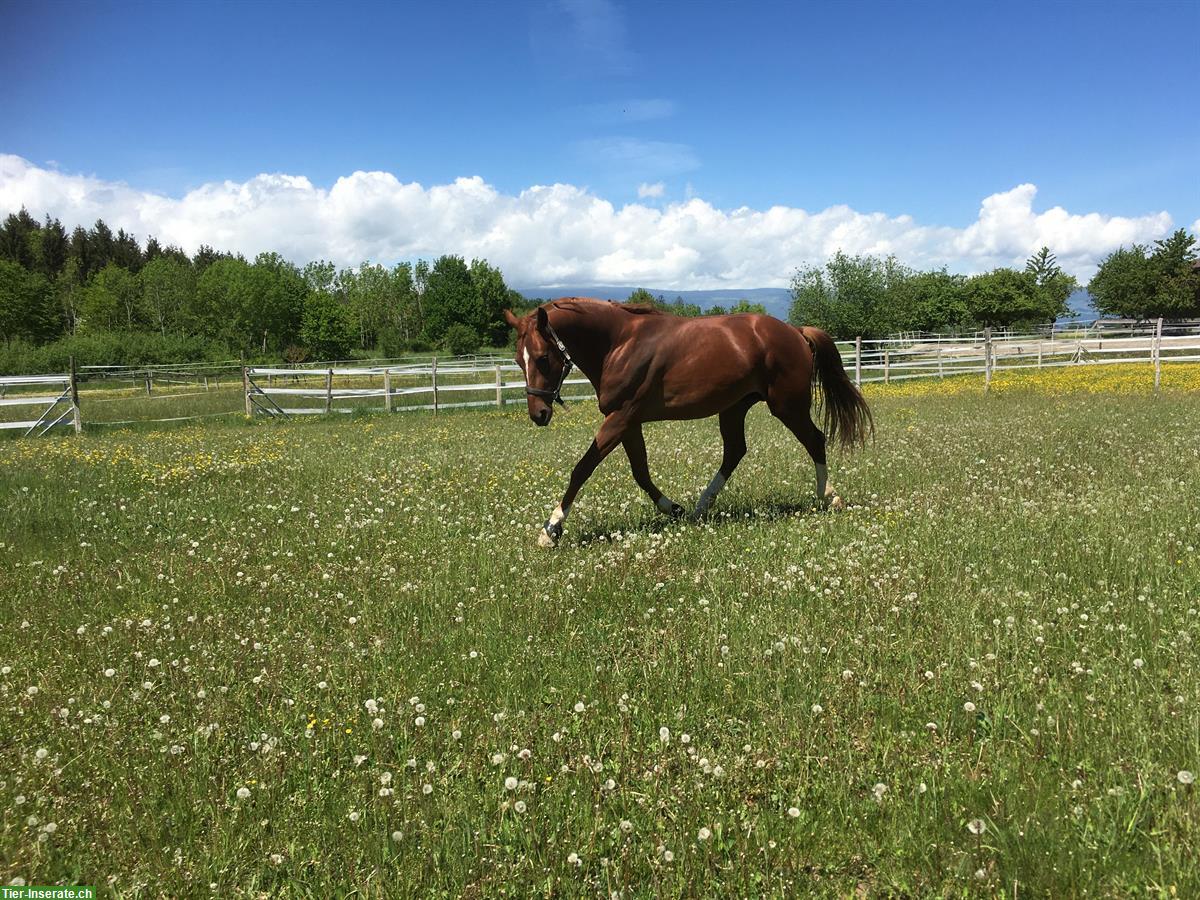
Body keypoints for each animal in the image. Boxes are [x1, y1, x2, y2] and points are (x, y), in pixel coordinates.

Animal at [506, 300, 873, 547]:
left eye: (542, 357)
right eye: (517, 360)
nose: (539, 414)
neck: (619, 343)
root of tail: (794, 331)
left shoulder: (621, 417)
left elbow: (582, 468)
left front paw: (551, 529)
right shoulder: (629, 422)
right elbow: (640, 472)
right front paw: (673, 509)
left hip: (787, 406)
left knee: (815, 440)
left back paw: (829, 497)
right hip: (734, 408)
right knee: (735, 451)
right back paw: (699, 508)